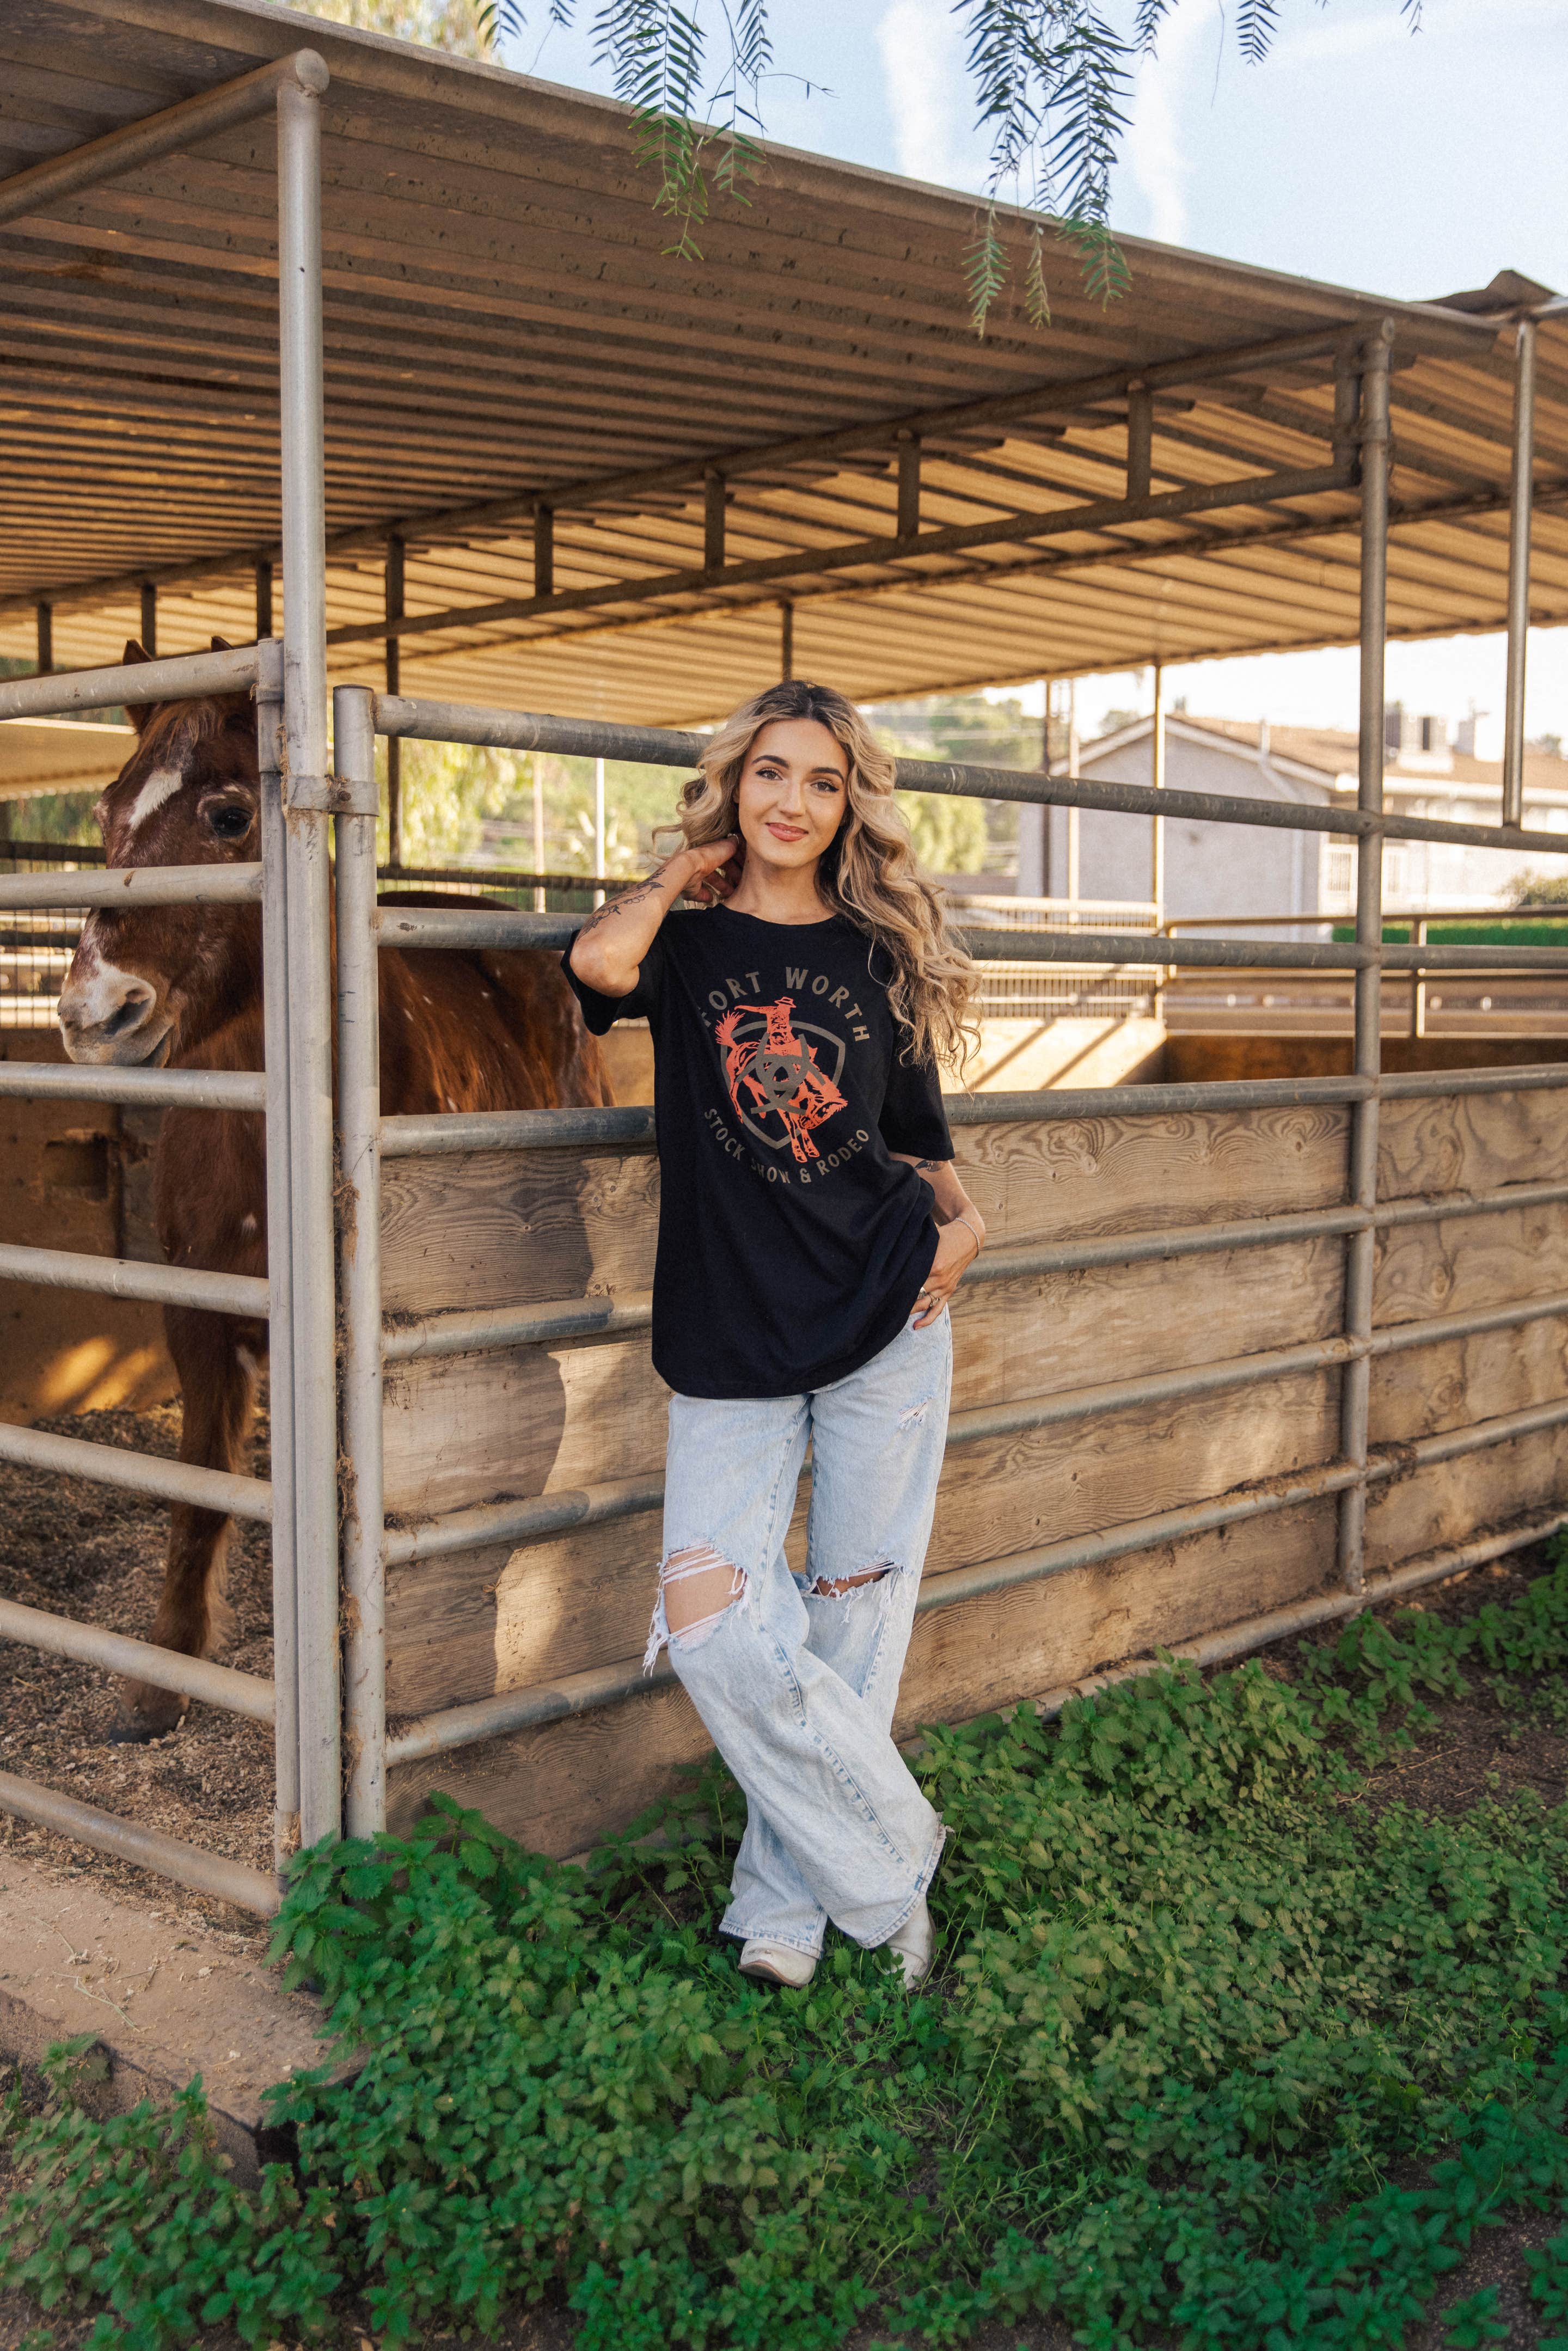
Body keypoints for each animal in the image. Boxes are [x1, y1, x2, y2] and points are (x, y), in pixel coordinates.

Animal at [56, 641, 611, 1739]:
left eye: (231, 815)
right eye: (105, 811)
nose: (95, 1013)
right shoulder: (197, 1318)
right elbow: (199, 1486)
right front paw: (161, 1678)